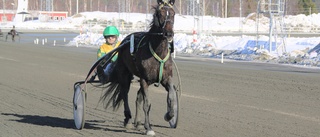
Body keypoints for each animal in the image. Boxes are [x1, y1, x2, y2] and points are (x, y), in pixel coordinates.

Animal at [99, 0, 176, 135]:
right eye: (159, 14)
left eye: (173, 14)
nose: (169, 34)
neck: (158, 52)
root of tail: (124, 41)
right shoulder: (144, 80)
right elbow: (147, 104)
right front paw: (149, 128)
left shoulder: (166, 79)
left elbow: (171, 97)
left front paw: (169, 115)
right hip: (125, 75)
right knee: (125, 94)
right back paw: (128, 119)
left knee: (138, 97)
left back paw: (138, 122)